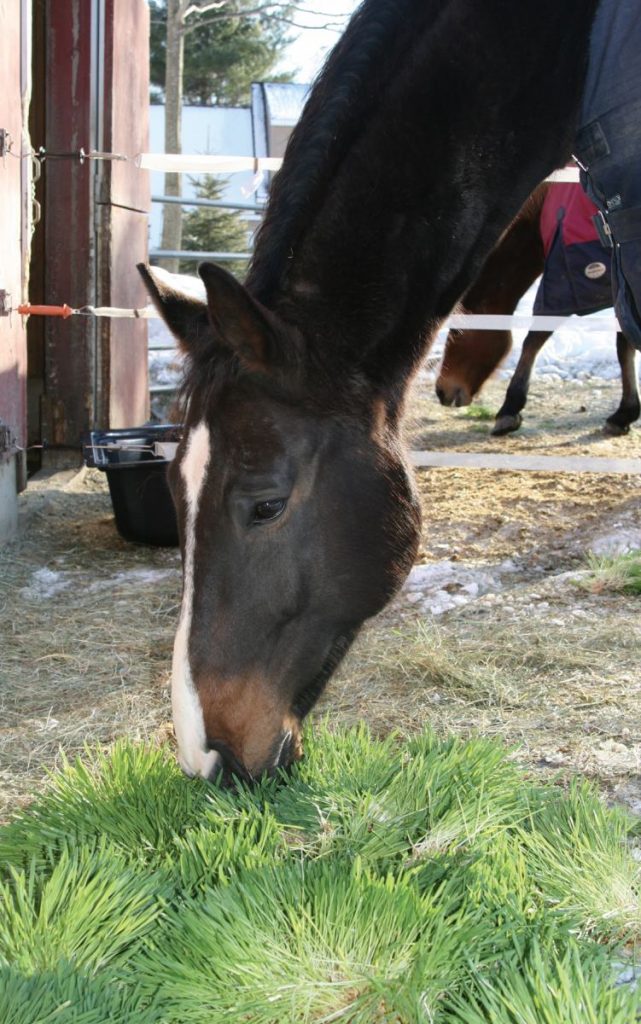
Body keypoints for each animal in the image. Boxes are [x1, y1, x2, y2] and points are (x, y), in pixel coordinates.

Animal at [432, 184, 634, 436]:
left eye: (456, 331)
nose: (441, 391)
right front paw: (626, 412)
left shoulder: (561, 286)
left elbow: (534, 339)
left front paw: (509, 409)